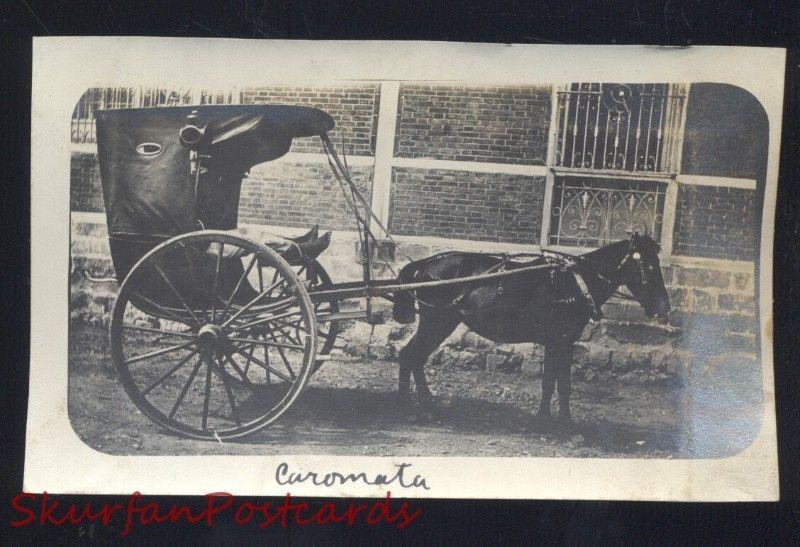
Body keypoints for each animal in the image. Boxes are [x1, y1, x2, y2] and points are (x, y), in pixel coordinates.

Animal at [390, 232, 672, 424]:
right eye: (648, 265)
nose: (664, 306)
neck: (574, 282)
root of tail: (425, 264)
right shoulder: (561, 340)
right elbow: (558, 382)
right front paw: (557, 422)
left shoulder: (559, 341)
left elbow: (555, 382)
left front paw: (551, 418)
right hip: (437, 322)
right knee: (410, 355)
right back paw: (407, 404)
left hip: (439, 324)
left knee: (414, 357)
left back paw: (424, 402)